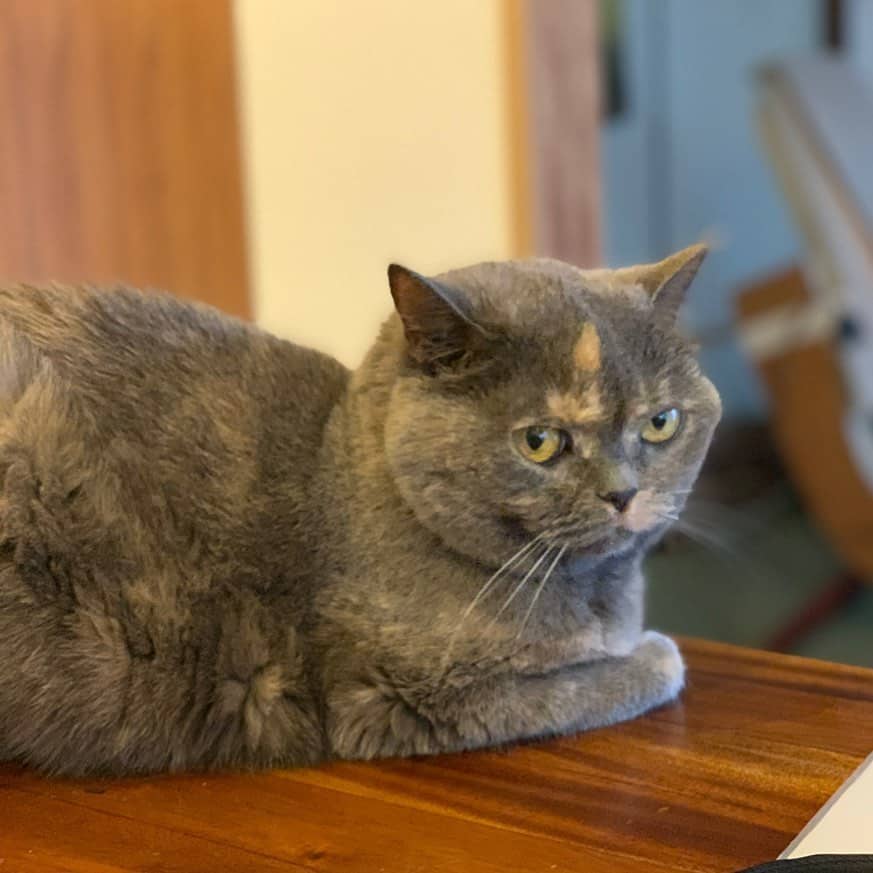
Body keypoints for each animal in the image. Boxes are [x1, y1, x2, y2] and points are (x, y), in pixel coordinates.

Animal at [0, 245, 724, 776]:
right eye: (540, 441)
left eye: (660, 423)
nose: (624, 493)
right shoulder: (414, 693)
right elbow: (612, 677)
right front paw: (659, 653)